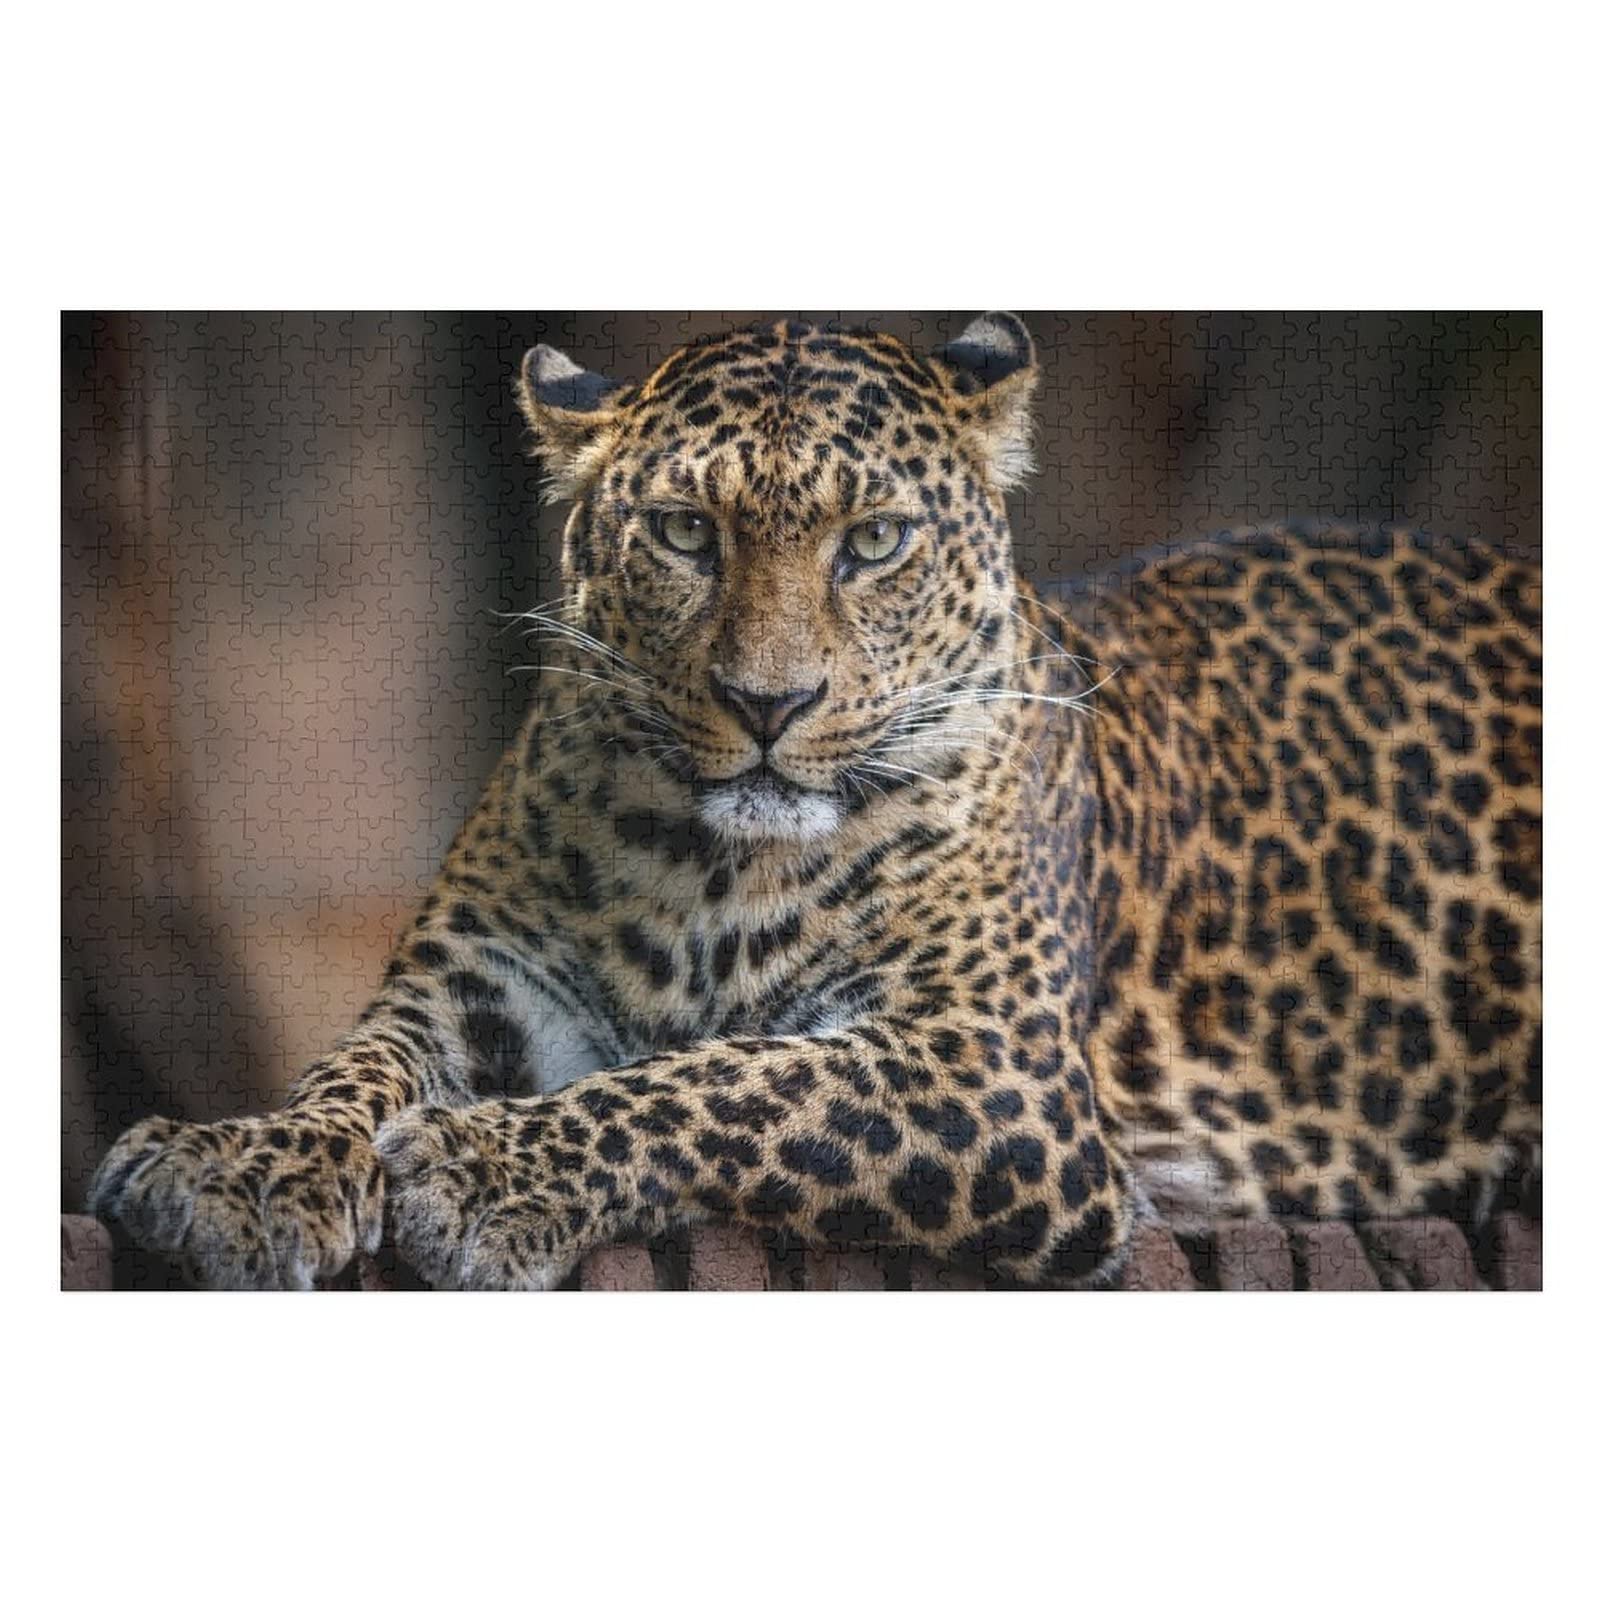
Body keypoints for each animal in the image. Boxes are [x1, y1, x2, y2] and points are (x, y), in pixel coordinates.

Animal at [87, 313, 1543, 1289]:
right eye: (685, 533)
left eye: (875, 541)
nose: (767, 705)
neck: (710, 872)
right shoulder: (480, 980)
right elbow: (353, 1066)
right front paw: (244, 1166)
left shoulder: (999, 1073)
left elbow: (738, 1081)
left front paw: (485, 1170)